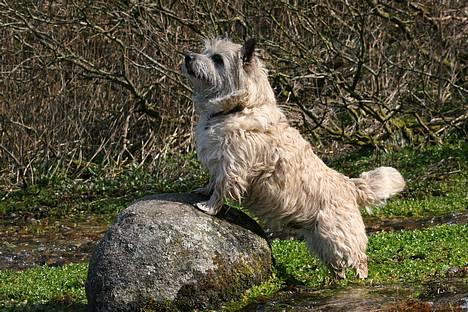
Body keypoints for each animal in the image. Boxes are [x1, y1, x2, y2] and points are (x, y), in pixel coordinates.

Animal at [181, 37, 404, 278]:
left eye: (217, 59)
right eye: (205, 51)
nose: (187, 56)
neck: (240, 107)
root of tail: (348, 184)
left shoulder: (233, 166)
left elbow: (221, 188)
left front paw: (208, 207)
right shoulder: (219, 161)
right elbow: (213, 181)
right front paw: (202, 190)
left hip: (337, 238)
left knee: (359, 260)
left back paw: (361, 280)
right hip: (321, 242)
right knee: (338, 266)